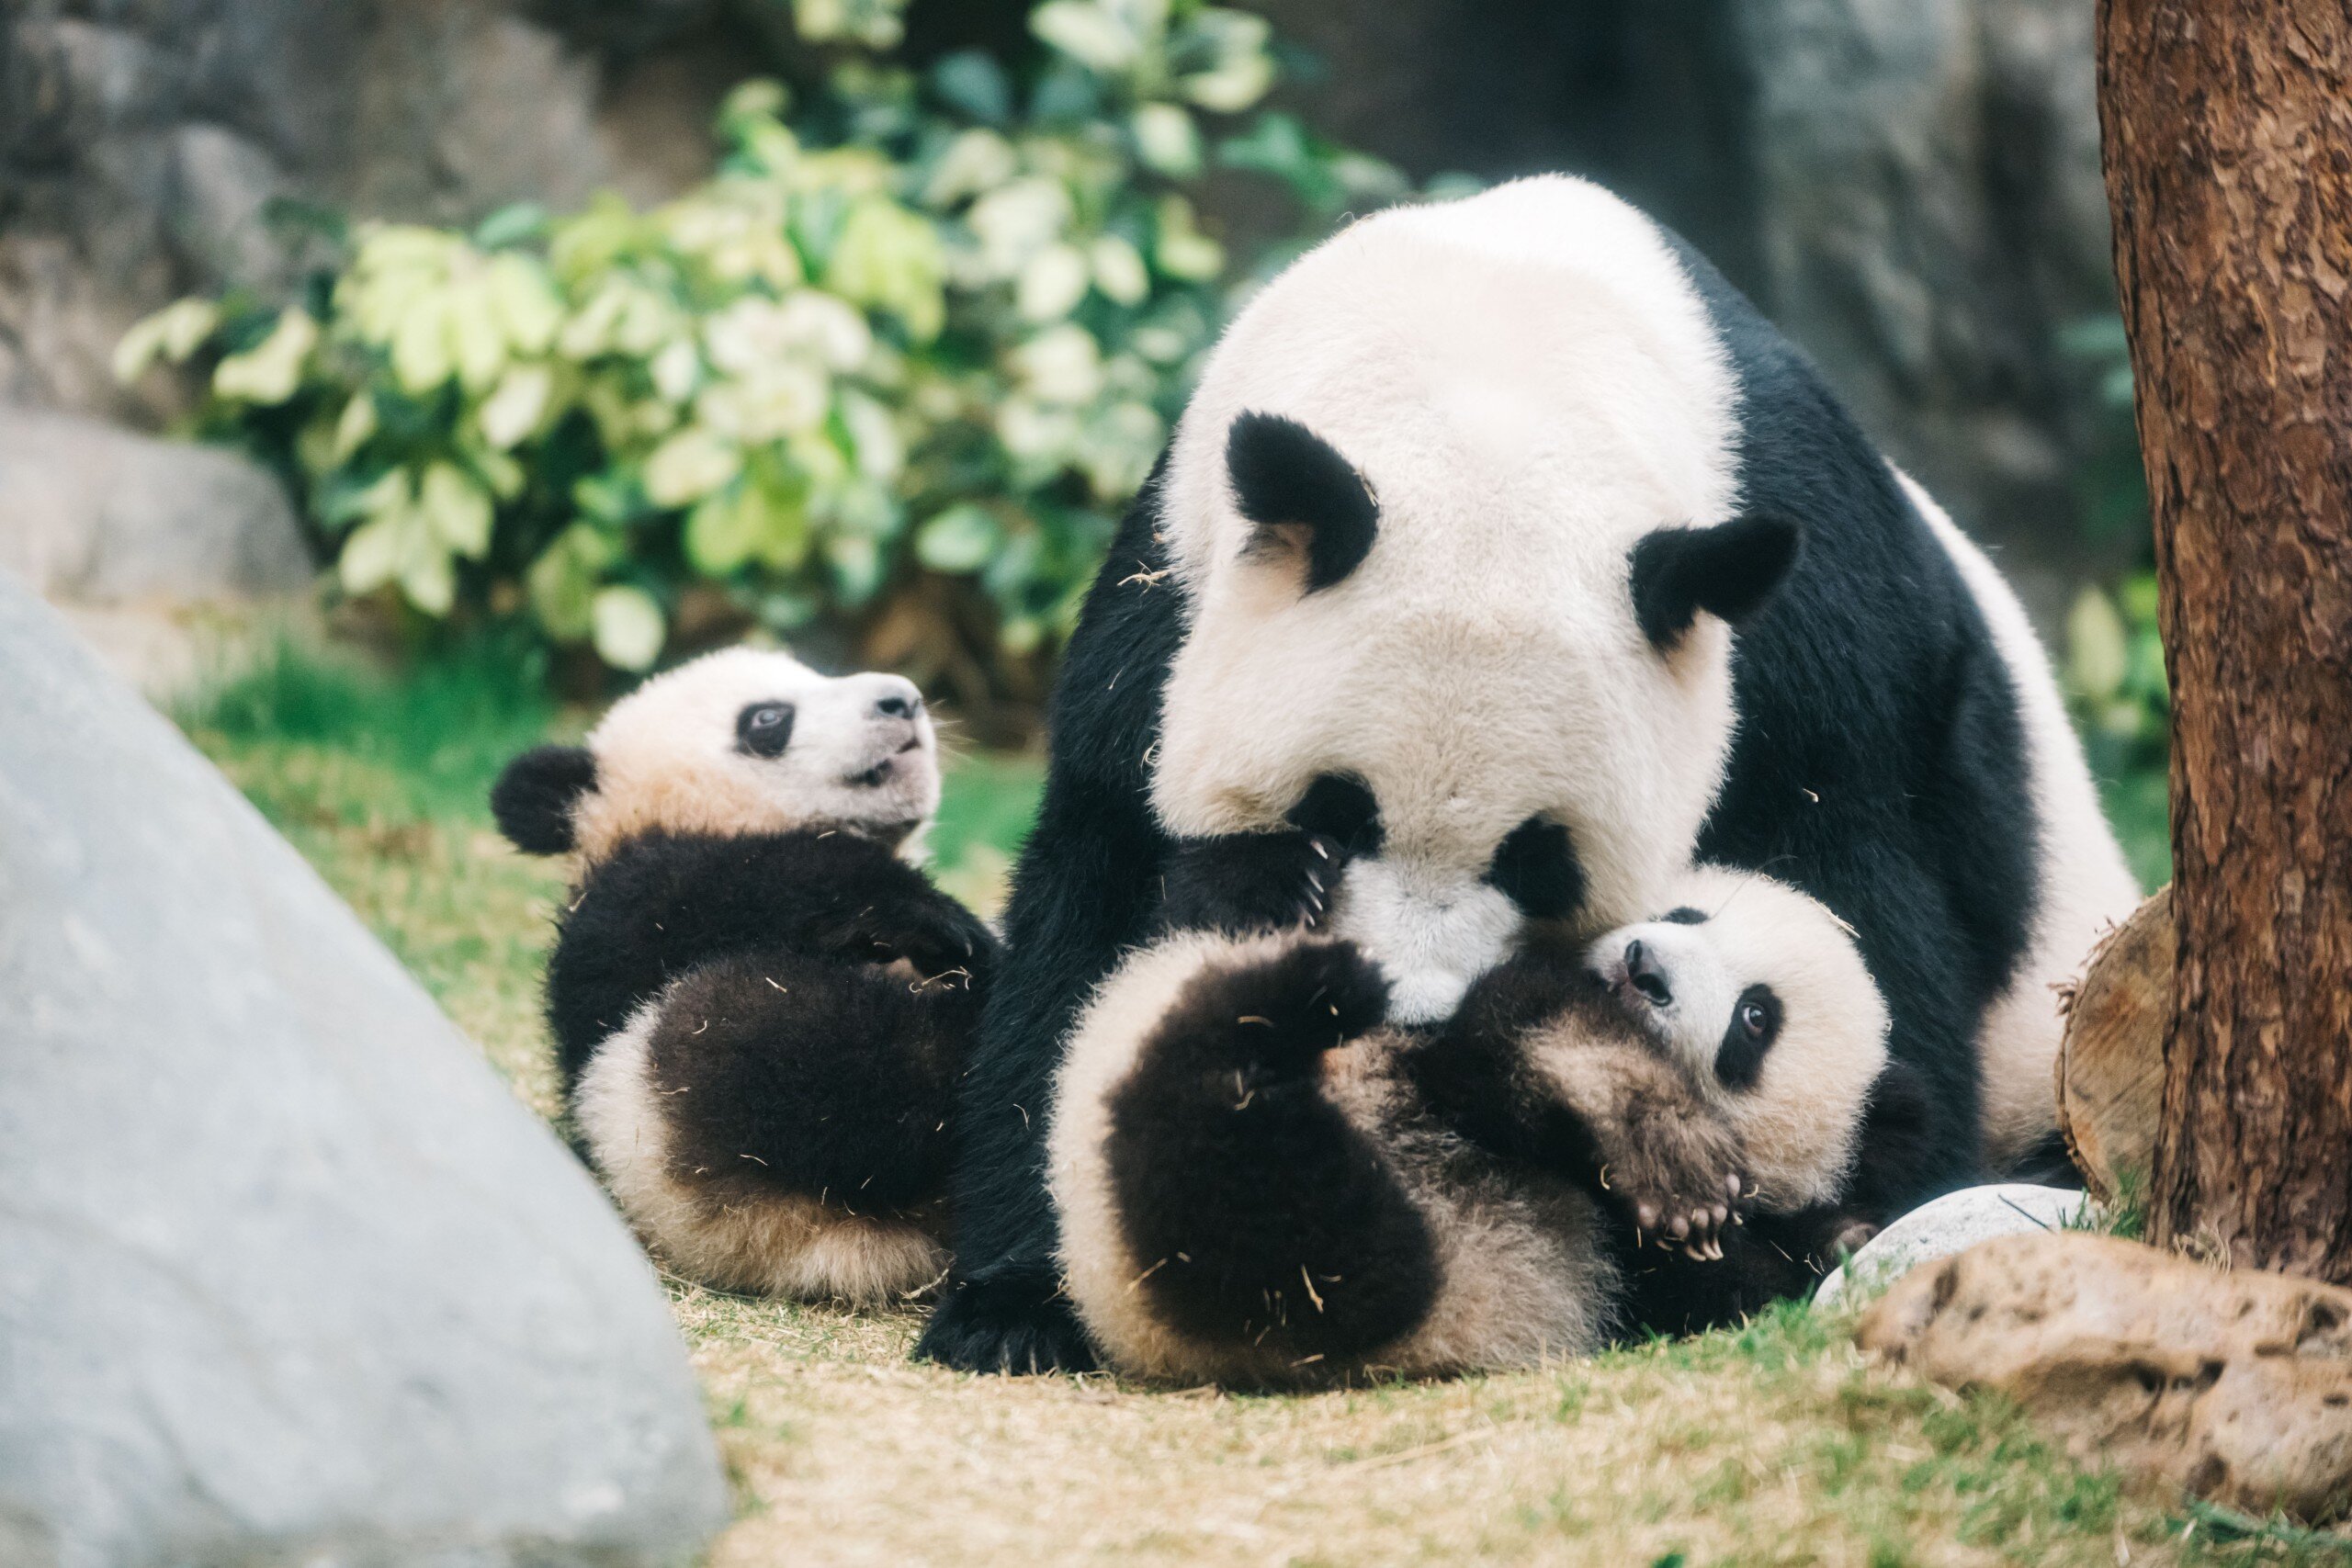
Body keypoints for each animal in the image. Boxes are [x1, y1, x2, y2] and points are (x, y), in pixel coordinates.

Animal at [490, 647, 997, 1304]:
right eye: (767, 719)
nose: (902, 700)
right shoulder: (632, 908)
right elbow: (739, 891)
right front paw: (931, 914)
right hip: (686, 1121)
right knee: (799, 1053)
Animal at [1046, 862, 1895, 1385]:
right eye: (1684, 913)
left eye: (1756, 1018)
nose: (1644, 966)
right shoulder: (1459, 1045)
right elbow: (1516, 1020)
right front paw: (1670, 1155)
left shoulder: (1651, 1285)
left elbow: (1743, 1280)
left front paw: (1836, 1238)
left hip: (1274, 1270)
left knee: (1252, 1212)